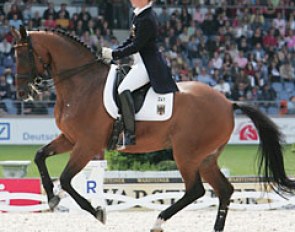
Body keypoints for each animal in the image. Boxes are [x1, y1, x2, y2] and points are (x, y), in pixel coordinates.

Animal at [11, 25, 295, 232]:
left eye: (23, 55)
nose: (23, 93)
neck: (81, 83)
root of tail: (227, 102)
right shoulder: (70, 138)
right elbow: (39, 156)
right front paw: (52, 198)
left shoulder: (87, 144)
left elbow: (67, 179)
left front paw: (97, 211)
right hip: (206, 157)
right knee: (224, 190)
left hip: (186, 153)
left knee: (196, 190)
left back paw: (158, 221)